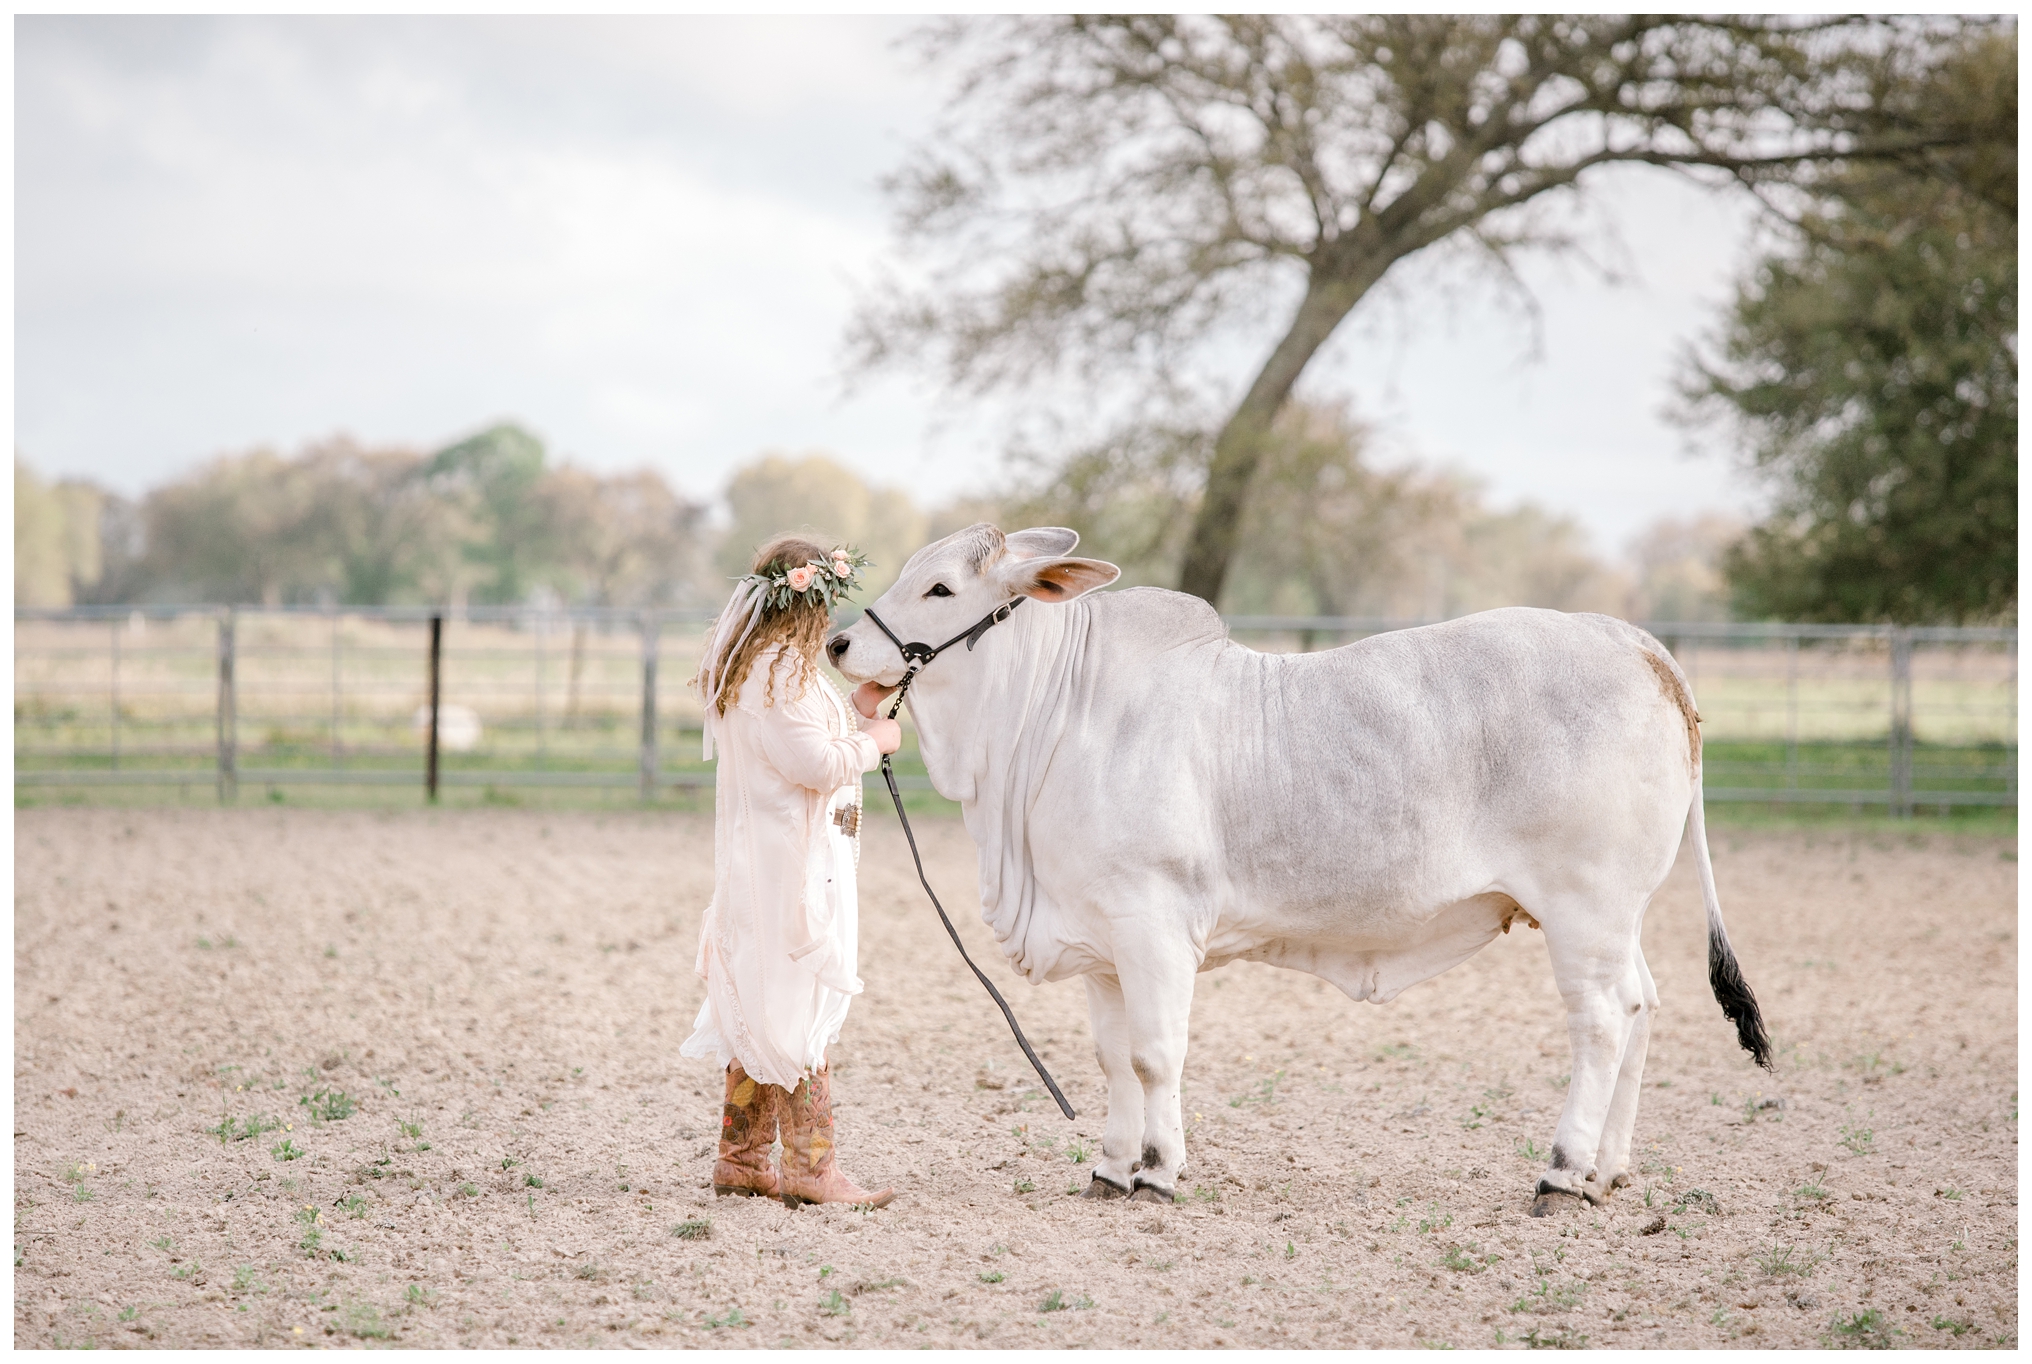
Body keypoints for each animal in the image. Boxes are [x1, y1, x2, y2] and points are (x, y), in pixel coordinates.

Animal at [833, 524, 1771, 1219]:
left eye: (941, 589)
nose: (840, 642)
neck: (1054, 722)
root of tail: (1631, 640)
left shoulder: (1153, 926)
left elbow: (1155, 1055)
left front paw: (1158, 1171)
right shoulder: (1101, 943)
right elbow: (1112, 1059)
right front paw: (1109, 1166)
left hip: (1583, 908)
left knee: (1602, 1023)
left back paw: (1565, 1172)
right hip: (1618, 916)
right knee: (1643, 1006)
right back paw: (1609, 1170)